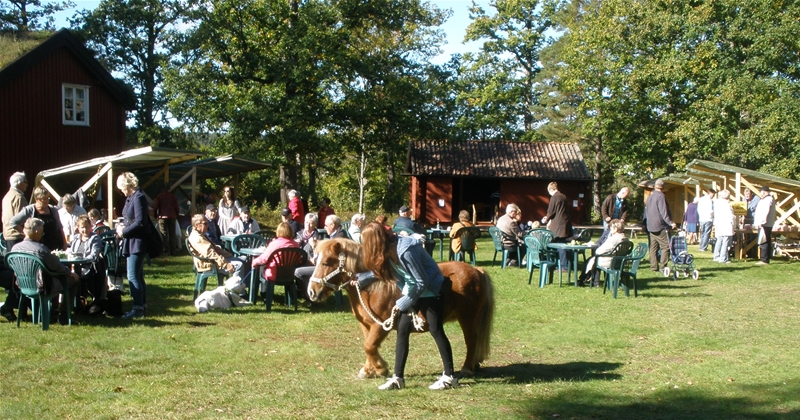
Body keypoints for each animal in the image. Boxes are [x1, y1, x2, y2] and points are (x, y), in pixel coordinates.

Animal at [307, 238, 495, 379]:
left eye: (326, 262)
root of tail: (476, 270)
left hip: (467, 318)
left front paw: (381, 368)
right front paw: (369, 370)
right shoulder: (367, 325)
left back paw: (467, 368)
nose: (312, 292)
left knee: (471, 339)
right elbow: (368, 346)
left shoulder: (381, 326)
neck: (371, 287)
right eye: (315, 261)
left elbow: (369, 346)